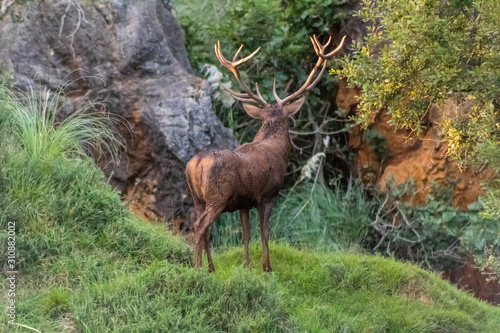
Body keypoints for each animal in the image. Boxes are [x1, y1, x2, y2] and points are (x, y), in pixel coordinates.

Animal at [186, 33, 346, 272]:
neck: (277, 151)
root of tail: (197, 164)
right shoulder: (268, 194)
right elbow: (265, 232)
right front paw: (267, 267)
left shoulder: (243, 202)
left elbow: (246, 234)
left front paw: (246, 265)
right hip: (217, 196)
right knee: (200, 226)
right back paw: (198, 267)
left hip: (197, 198)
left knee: (202, 227)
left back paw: (211, 267)